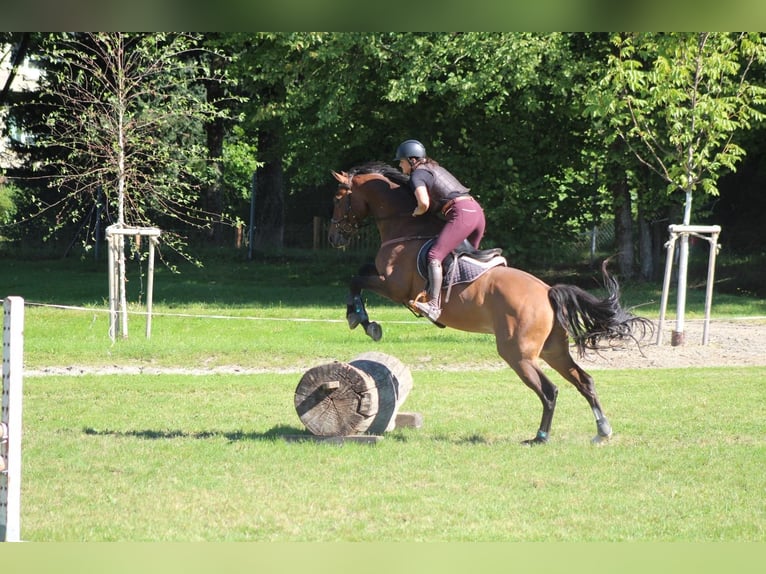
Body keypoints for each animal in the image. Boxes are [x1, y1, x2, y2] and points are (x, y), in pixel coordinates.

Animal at [328, 162, 652, 445]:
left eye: (338, 198)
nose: (333, 238)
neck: (404, 227)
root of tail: (547, 291)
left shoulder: (393, 287)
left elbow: (356, 279)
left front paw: (361, 320)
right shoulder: (385, 280)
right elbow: (359, 273)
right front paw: (360, 317)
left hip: (517, 354)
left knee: (550, 391)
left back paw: (540, 437)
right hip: (552, 350)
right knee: (584, 381)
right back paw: (602, 431)